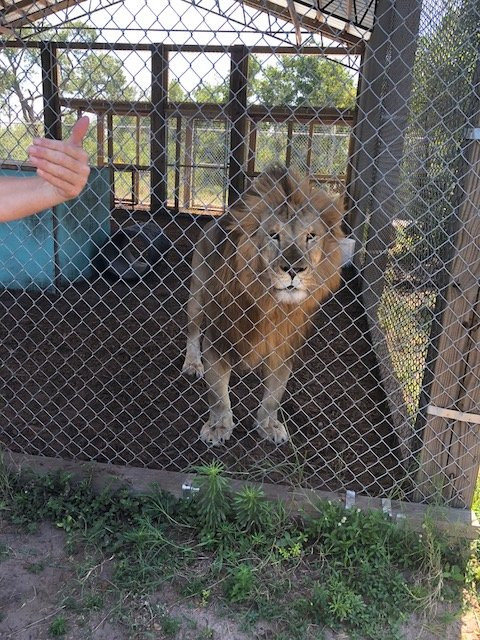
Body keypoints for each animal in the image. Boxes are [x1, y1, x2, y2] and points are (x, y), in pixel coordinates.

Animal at [182, 164, 344, 444]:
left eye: (310, 236)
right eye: (274, 236)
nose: (294, 270)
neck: (270, 304)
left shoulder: (284, 345)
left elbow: (274, 394)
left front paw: (268, 425)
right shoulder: (218, 337)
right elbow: (218, 393)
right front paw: (219, 427)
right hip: (198, 295)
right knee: (192, 330)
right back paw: (192, 364)